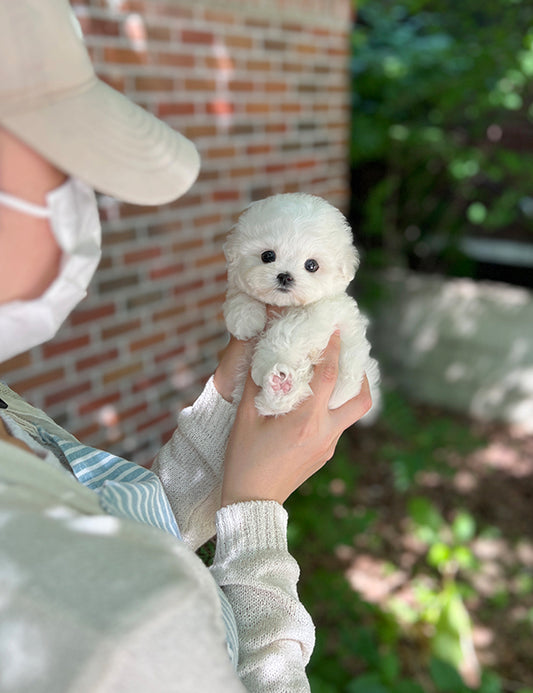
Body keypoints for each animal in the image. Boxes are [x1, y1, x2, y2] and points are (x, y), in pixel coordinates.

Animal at [222, 191, 380, 416]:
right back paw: (280, 388)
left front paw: (266, 360)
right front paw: (245, 319)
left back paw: (281, 385)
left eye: (311, 265)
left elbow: (288, 331)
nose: (285, 276)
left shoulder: (326, 312)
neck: (286, 305)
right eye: (267, 255)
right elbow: (239, 292)